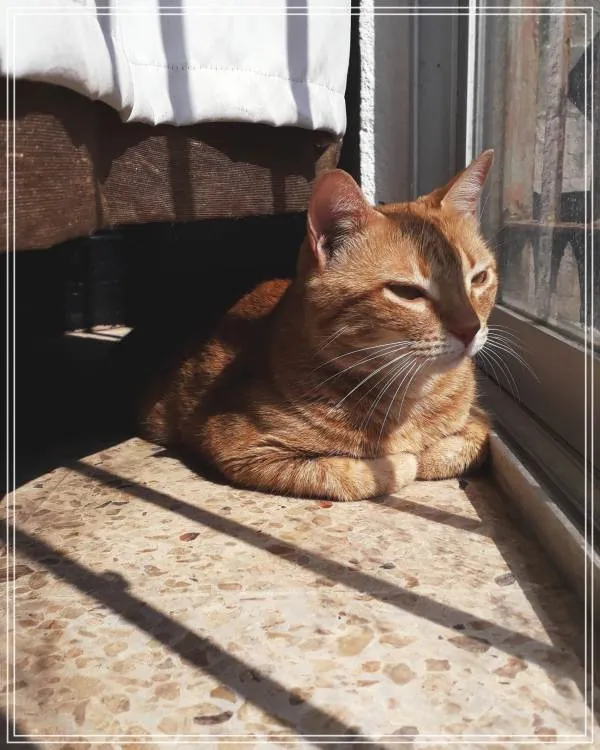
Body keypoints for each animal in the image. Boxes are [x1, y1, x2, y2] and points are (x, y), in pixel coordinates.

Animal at [140, 150, 498, 502]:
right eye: (406, 292)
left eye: (479, 278)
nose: (470, 328)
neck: (412, 395)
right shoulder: (240, 449)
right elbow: (356, 474)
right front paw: (404, 460)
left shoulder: (479, 417)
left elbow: (470, 444)